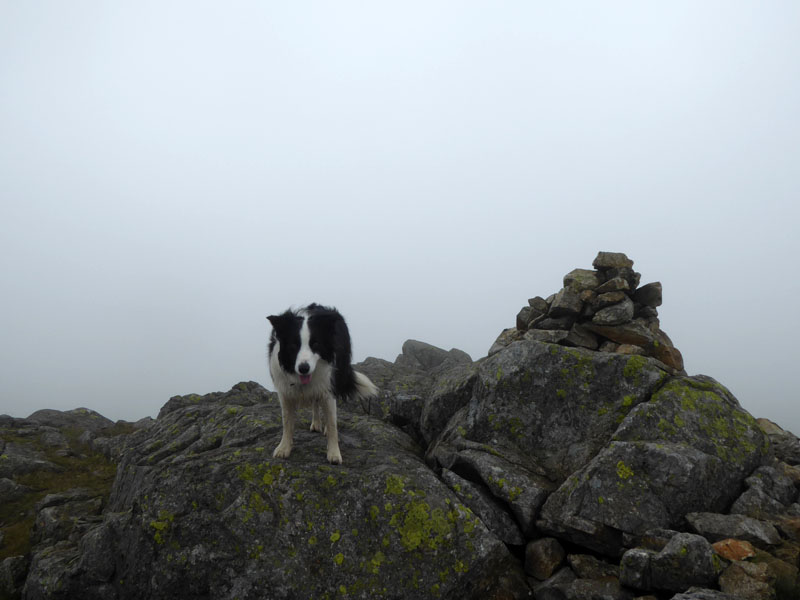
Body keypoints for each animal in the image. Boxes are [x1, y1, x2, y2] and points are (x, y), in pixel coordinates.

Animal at [266, 304, 378, 464]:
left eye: (315, 344)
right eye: (294, 345)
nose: (304, 368)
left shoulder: (328, 390)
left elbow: (332, 424)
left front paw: (334, 453)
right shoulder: (285, 393)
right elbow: (287, 422)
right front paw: (284, 448)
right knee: (315, 402)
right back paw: (316, 423)